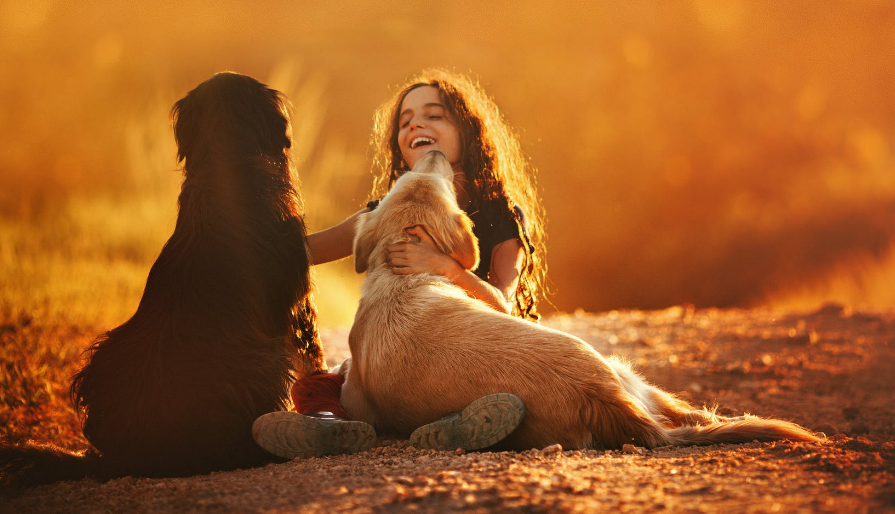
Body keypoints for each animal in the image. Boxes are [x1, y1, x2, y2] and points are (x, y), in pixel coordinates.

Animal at [1, 72, 324, 484]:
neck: (227, 169)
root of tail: (123, 457)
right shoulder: (299, 306)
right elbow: (314, 354)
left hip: (101, 355)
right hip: (265, 360)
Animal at [340, 151, 824, 448]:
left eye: (422, 177)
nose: (436, 153)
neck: (402, 268)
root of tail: (600, 393)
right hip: (625, 372)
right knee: (695, 415)